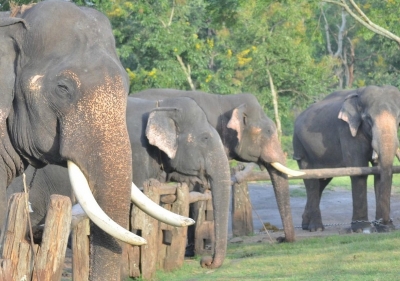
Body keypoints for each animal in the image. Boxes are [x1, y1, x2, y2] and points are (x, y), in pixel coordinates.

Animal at [292, 85, 400, 232]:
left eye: (399, 118)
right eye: (368, 119)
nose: (386, 223)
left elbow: (379, 172)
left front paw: (386, 229)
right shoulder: (346, 130)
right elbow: (358, 168)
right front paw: (362, 229)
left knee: (322, 181)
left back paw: (305, 225)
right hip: (300, 146)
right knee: (311, 181)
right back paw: (316, 228)